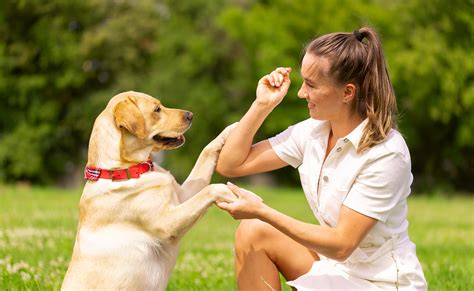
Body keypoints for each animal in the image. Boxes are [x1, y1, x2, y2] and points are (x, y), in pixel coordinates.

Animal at [62, 90, 236, 290]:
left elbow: (206, 152)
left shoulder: (183, 195)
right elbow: (209, 190)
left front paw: (231, 129)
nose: (191, 115)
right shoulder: (168, 222)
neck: (128, 169)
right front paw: (231, 193)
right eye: (157, 110)